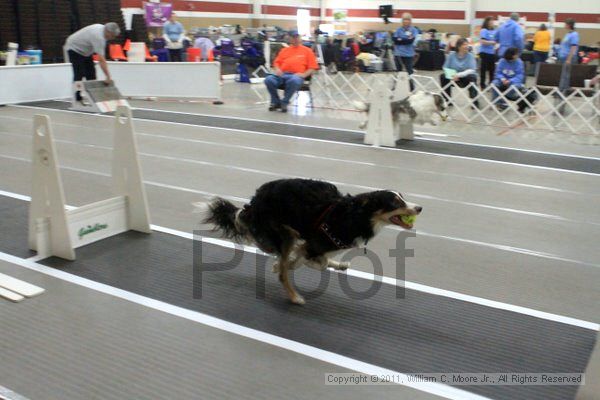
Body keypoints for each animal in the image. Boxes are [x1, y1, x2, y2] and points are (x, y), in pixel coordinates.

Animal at [198, 180, 422, 304]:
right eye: (395, 202)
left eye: (403, 197)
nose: (419, 208)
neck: (356, 215)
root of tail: (254, 203)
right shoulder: (313, 242)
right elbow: (314, 262)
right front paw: (291, 264)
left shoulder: (313, 243)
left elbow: (311, 258)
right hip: (284, 233)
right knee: (283, 273)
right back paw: (294, 296)